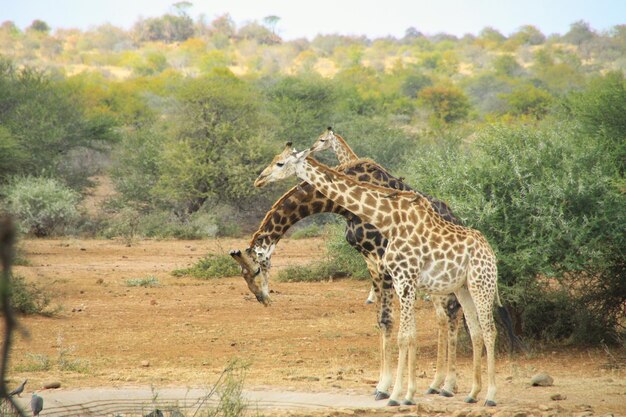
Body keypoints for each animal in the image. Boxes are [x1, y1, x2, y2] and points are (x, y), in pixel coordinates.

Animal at [252, 144, 498, 406]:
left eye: (280, 163)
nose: (260, 179)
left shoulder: (393, 270)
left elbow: (396, 328)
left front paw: (393, 392)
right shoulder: (377, 267)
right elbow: (386, 324)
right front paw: (389, 388)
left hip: (466, 283)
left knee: (469, 322)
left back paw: (467, 390)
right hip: (451, 284)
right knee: (461, 323)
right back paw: (455, 388)